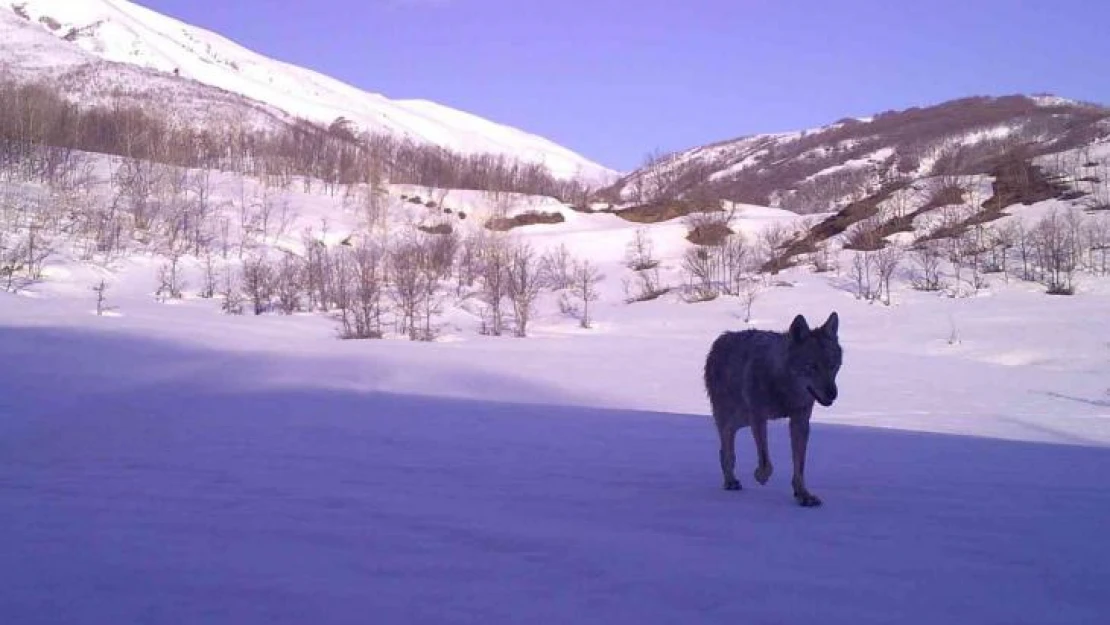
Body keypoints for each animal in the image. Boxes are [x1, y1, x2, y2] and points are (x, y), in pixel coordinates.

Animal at [701, 310, 839, 506]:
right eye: (811, 366)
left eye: (833, 366)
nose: (832, 393)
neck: (784, 387)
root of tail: (721, 339)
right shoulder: (758, 417)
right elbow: (766, 461)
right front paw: (760, 476)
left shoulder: (800, 422)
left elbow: (799, 466)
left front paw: (803, 495)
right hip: (735, 416)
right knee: (726, 445)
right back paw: (730, 481)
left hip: (743, 419)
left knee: (726, 443)